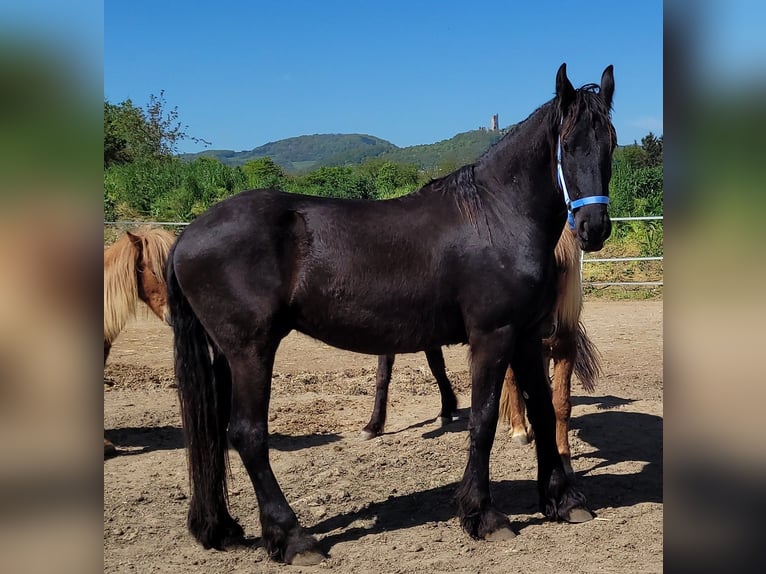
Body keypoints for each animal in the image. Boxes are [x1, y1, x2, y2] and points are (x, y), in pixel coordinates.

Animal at [361, 228, 602, 482]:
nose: (544, 329)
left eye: (562, 268)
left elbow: (560, 404)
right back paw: (520, 430)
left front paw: (563, 458)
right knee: (513, 383)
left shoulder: (565, 349)